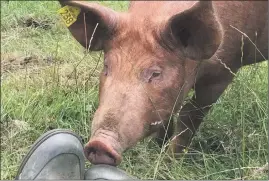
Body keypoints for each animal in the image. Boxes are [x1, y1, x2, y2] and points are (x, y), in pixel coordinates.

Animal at [57, 0, 266, 166]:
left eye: (156, 73)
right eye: (107, 66)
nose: (99, 144)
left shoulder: (224, 72)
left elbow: (189, 115)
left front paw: (169, 163)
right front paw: (157, 146)